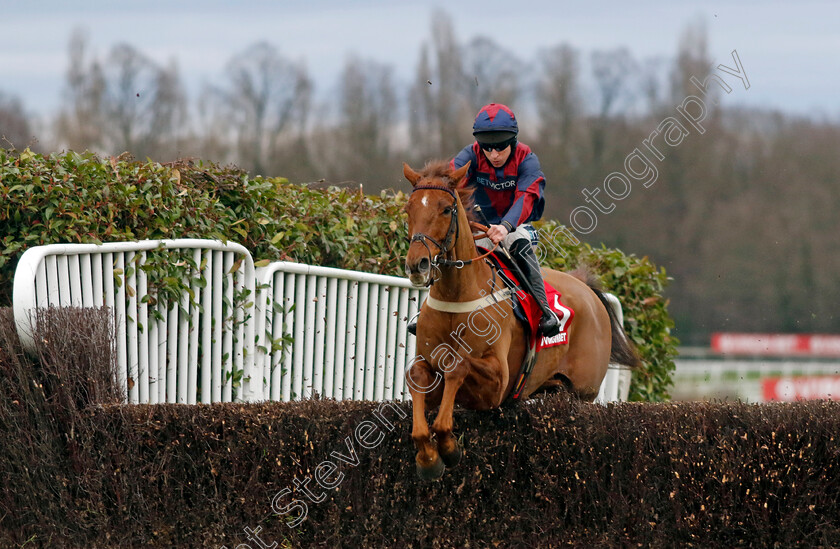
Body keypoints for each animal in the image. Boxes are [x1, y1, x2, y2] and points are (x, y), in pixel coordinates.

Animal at [404, 159, 640, 480]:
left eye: (445, 209)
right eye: (409, 208)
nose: (417, 264)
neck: (458, 296)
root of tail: (586, 289)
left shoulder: (497, 383)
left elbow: (458, 365)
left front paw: (449, 448)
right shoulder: (428, 368)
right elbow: (416, 376)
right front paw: (428, 457)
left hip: (584, 392)